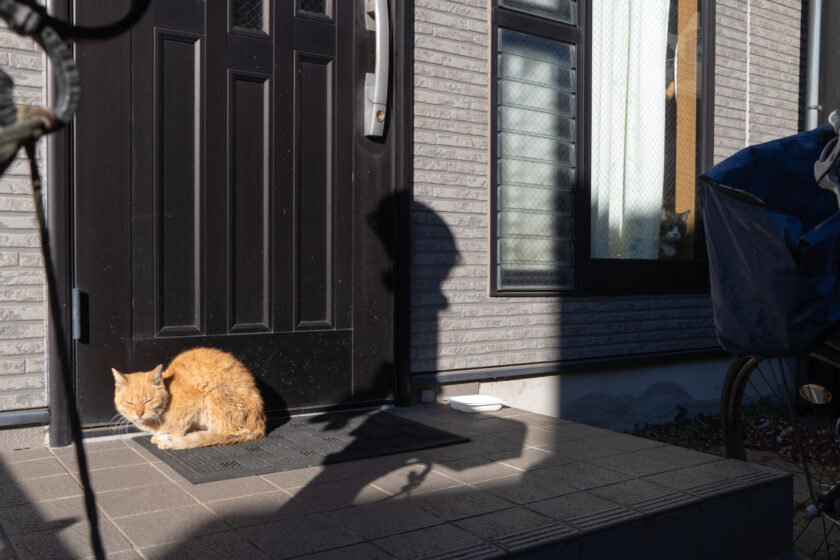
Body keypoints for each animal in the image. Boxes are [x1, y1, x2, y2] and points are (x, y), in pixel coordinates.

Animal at [110, 346, 264, 450]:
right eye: (130, 402)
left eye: (148, 400)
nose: (139, 413)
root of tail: (260, 425)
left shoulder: (193, 407)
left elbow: (180, 429)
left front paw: (169, 438)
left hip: (213, 396)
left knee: (223, 434)